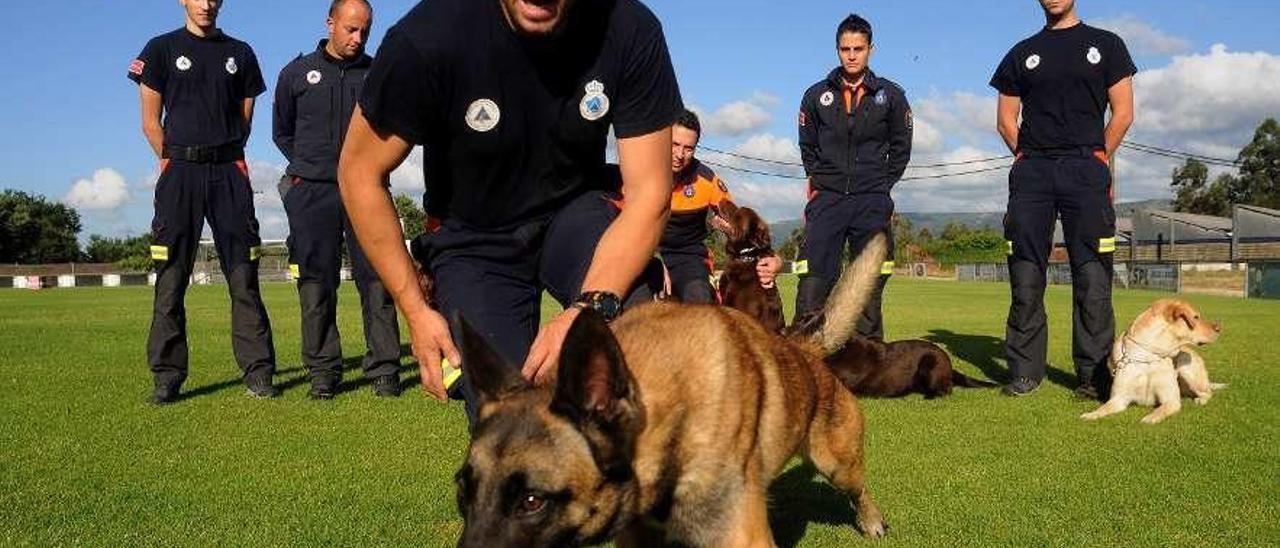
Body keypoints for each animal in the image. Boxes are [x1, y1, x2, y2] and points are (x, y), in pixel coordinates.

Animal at [458, 233, 890, 545]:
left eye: (532, 502)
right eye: (462, 491)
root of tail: (805, 349)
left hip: (838, 465)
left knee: (859, 489)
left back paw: (872, 522)